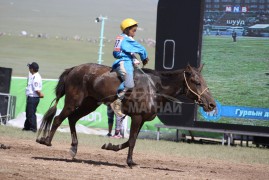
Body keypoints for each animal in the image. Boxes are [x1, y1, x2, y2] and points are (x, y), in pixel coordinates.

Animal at [36, 63, 216, 167]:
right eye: (197, 82)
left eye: (204, 82)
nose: (212, 104)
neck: (154, 88)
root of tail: (74, 69)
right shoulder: (136, 117)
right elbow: (132, 141)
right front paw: (129, 161)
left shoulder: (141, 119)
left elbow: (130, 140)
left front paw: (111, 146)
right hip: (73, 102)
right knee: (59, 118)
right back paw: (46, 140)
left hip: (90, 104)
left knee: (72, 119)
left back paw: (73, 147)